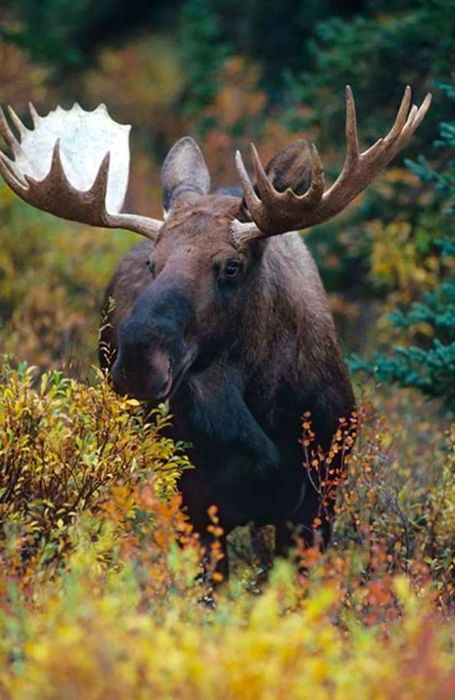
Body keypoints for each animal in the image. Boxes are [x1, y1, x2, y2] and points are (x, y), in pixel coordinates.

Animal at [0, 87, 432, 580]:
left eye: (231, 265)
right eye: (153, 262)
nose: (138, 361)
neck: (265, 408)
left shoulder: (319, 498)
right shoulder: (197, 503)